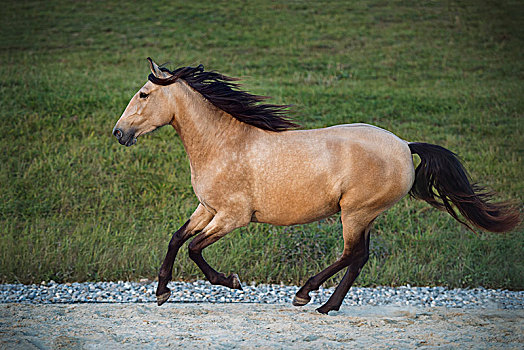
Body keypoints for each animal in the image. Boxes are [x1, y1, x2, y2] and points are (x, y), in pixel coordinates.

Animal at [111, 57, 520, 314]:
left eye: (144, 94)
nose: (119, 132)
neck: (223, 144)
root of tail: (405, 145)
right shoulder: (207, 209)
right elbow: (176, 239)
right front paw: (162, 292)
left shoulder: (232, 217)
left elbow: (195, 248)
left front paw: (231, 281)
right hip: (365, 215)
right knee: (360, 258)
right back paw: (326, 305)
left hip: (355, 212)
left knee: (351, 254)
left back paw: (306, 294)